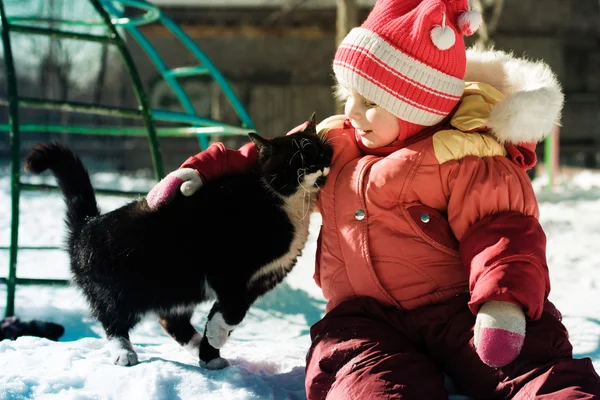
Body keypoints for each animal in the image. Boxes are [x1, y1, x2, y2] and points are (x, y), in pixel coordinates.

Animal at [24, 118, 332, 368]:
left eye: (320, 150)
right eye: (297, 158)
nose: (318, 165)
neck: (285, 203)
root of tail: (87, 224)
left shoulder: (260, 280)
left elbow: (230, 312)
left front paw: (210, 348)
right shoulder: (227, 271)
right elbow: (231, 311)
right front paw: (215, 339)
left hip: (179, 287)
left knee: (170, 320)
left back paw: (200, 348)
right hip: (123, 290)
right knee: (113, 320)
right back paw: (124, 353)